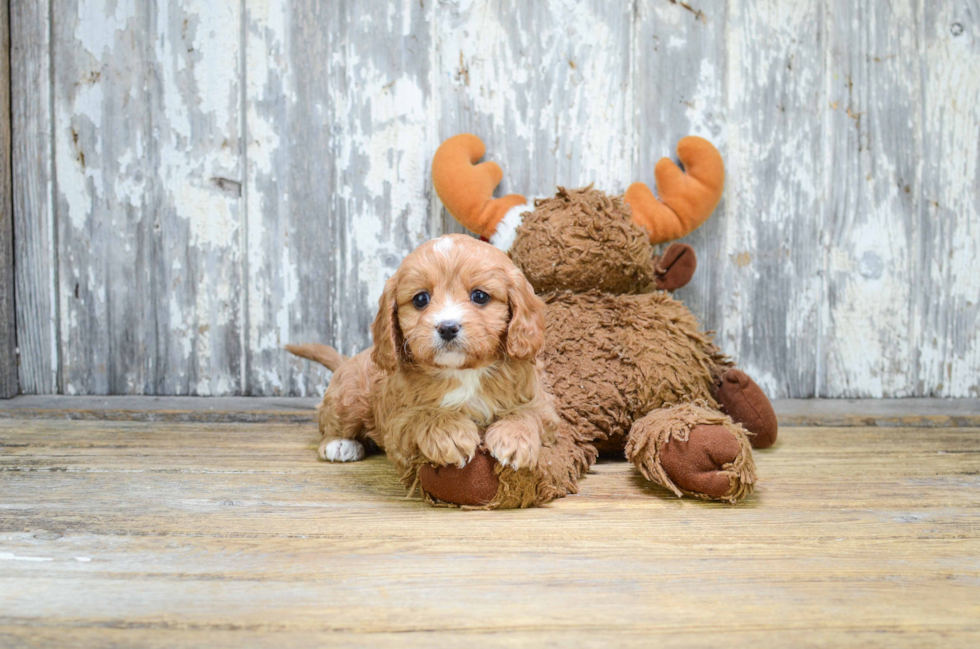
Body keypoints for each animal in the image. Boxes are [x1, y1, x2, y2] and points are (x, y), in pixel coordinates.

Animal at [288, 232, 556, 480]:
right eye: (420, 299)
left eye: (480, 296)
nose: (447, 327)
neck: (464, 372)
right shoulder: (397, 420)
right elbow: (422, 415)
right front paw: (450, 432)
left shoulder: (542, 403)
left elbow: (529, 412)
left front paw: (514, 437)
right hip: (348, 397)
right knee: (330, 423)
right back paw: (339, 444)